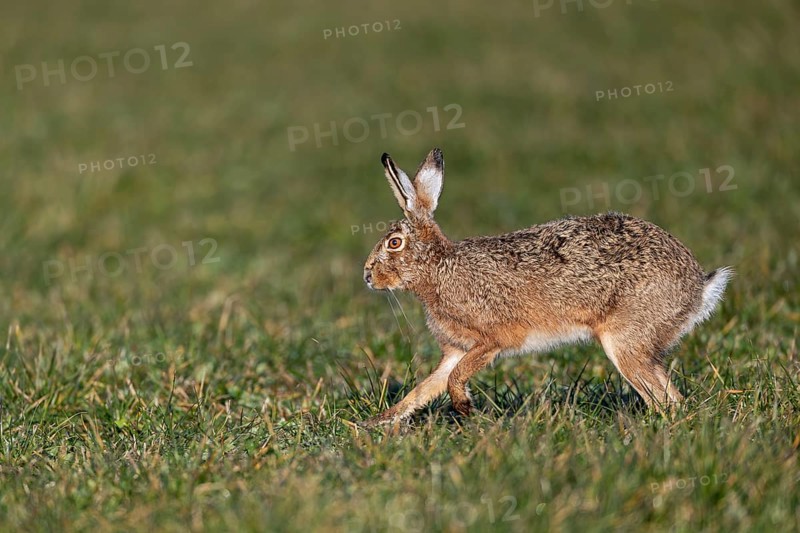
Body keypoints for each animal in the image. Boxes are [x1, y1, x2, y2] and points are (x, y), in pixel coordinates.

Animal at [361, 148, 731, 426]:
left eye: (394, 243)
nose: (367, 276)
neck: (438, 269)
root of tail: (698, 288)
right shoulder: (454, 350)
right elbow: (426, 388)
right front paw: (376, 422)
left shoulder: (493, 338)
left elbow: (456, 377)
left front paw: (466, 407)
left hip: (625, 341)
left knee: (665, 399)